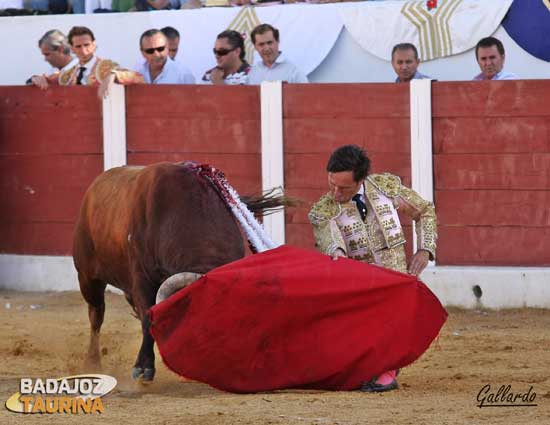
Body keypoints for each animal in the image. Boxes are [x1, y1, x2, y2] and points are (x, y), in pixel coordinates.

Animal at [74, 162, 286, 380]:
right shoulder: (141, 280)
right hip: (87, 276)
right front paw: (144, 367)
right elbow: (147, 320)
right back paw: (92, 363)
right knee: (96, 314)